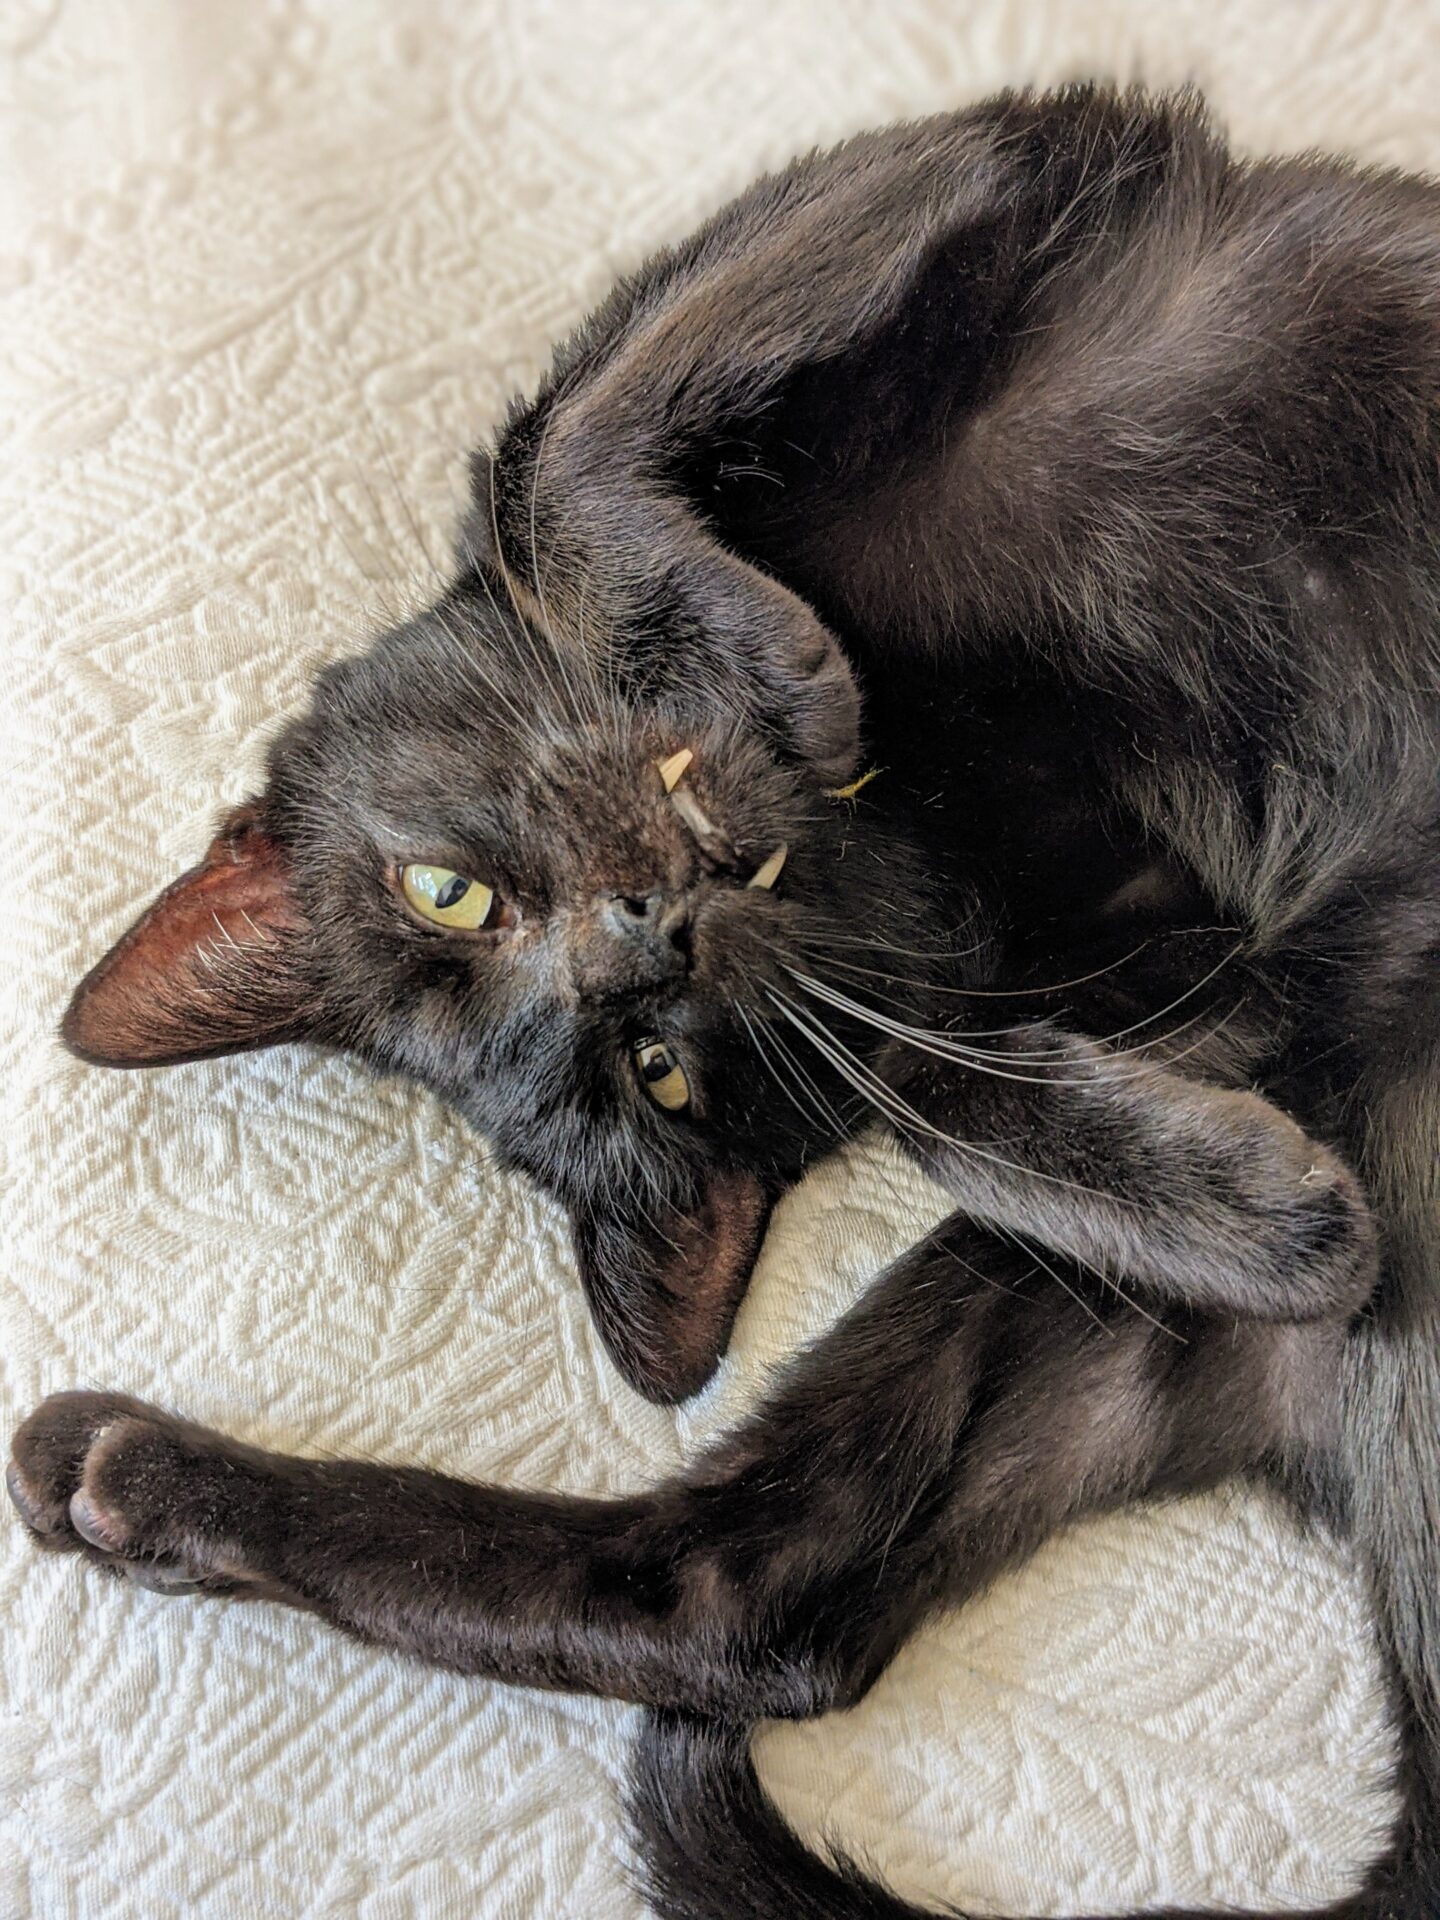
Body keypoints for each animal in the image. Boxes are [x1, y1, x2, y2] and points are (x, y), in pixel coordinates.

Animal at [5, 82, 1436, 1912]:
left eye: (448, 892)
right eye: (662, 1073)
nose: (648, 936)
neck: (929, 803)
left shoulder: (962, 158)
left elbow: (554, 462)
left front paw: (777, 671)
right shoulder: (1198, 958)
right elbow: (934, 1076)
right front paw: (1260, 1214)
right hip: (1018, 1336)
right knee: (724, 1597)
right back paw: (115, 1480)